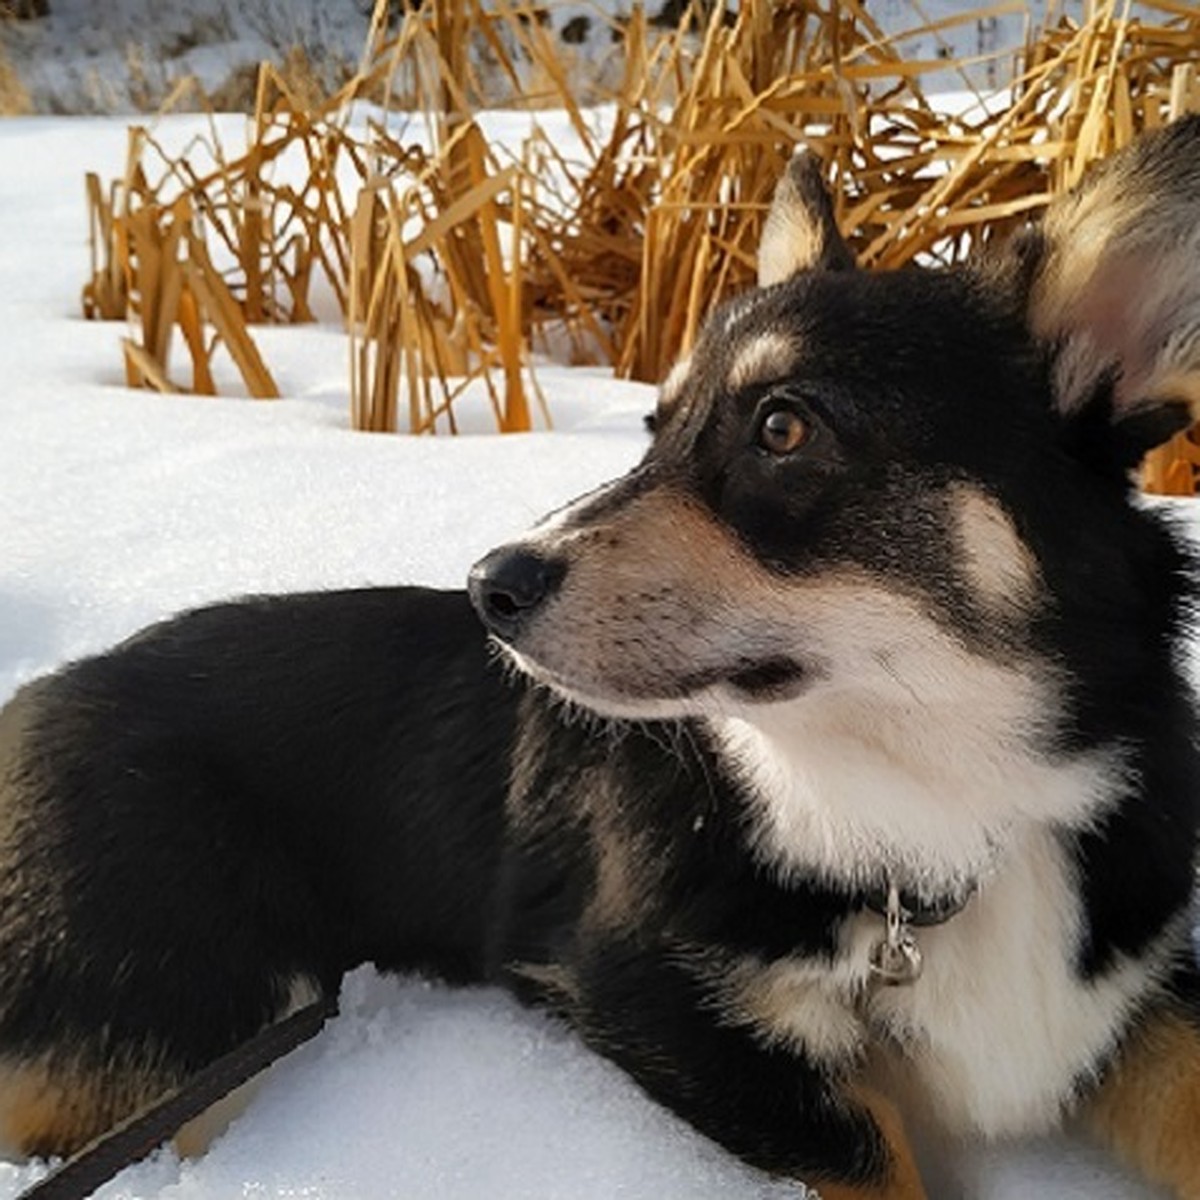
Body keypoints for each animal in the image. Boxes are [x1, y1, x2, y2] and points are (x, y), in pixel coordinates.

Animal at [2, 114, 1200, 1200]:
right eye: (654, 426)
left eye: (783, 426)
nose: (490, 588)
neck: (949, 811)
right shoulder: (649, 997)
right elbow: (874, 1156)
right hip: (204, 1009)